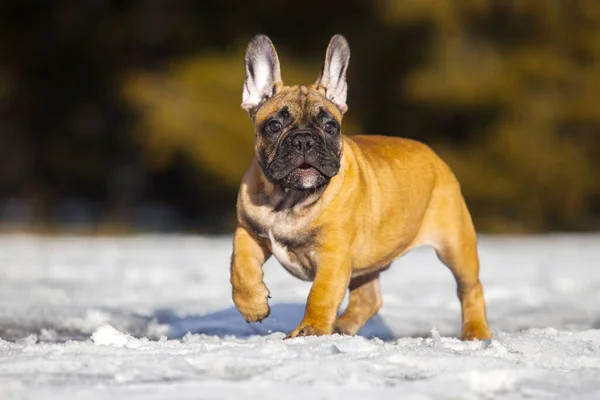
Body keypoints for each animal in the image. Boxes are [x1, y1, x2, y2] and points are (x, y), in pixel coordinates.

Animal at [230, 33, 492, 340]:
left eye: (330, 126)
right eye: (273, 126)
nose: (304, 140)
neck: (289, 198)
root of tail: (434, 156)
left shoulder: (334, 256)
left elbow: (320, 294)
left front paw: (310, 329)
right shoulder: (247, 232)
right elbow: (241, 268)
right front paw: (253, 306)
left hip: (456, 244)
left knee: (470, 288)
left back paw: (476, 333)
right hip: (368, 261)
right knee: (369, 298)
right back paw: (341, 327)